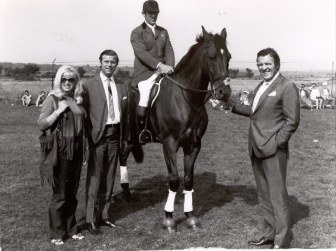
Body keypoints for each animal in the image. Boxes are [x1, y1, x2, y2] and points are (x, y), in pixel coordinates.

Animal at [119, 26, 232, 232]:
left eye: (228, 56)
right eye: (211, 57)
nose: (224, 93)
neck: (186, 98)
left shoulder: (194, 145)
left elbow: (188, 179)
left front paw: (190, 216)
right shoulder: (169, 144)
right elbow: (174, 179)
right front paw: (169, 218)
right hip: (127, 136)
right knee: (122, 156)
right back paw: (125, 193)